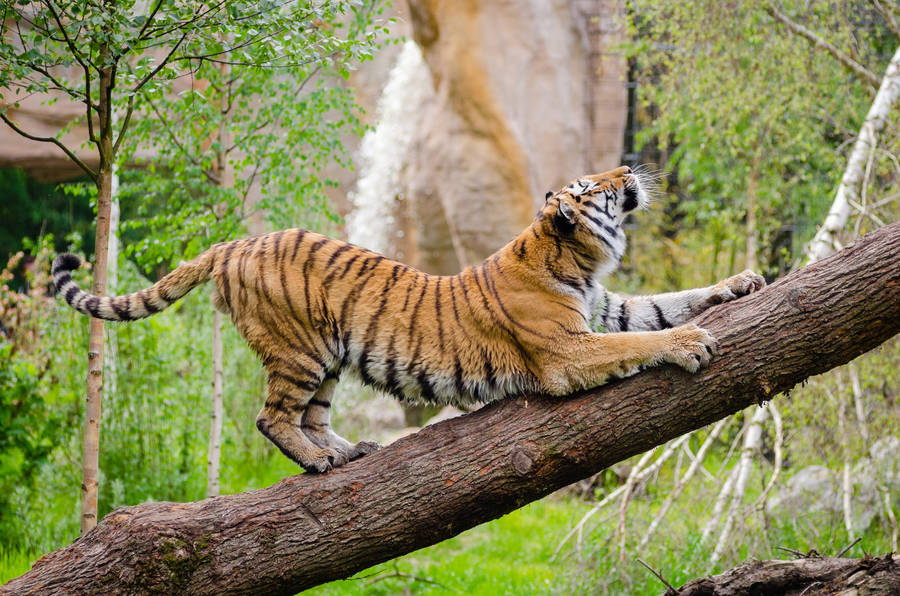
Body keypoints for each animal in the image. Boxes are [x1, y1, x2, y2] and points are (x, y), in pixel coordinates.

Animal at [52, 166, 765, 473]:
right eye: (595, 187)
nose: (628, 168)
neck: (578, 259)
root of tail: (235, 243)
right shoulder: (567, 351)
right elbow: (648, 336)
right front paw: (692, 343)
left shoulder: (606, 310)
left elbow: (665, 302)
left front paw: (741, 282)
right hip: (301, 350)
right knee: (271, 416)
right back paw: (318, 463)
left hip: (330, 359)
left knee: (313, 416)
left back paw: (346, 451)